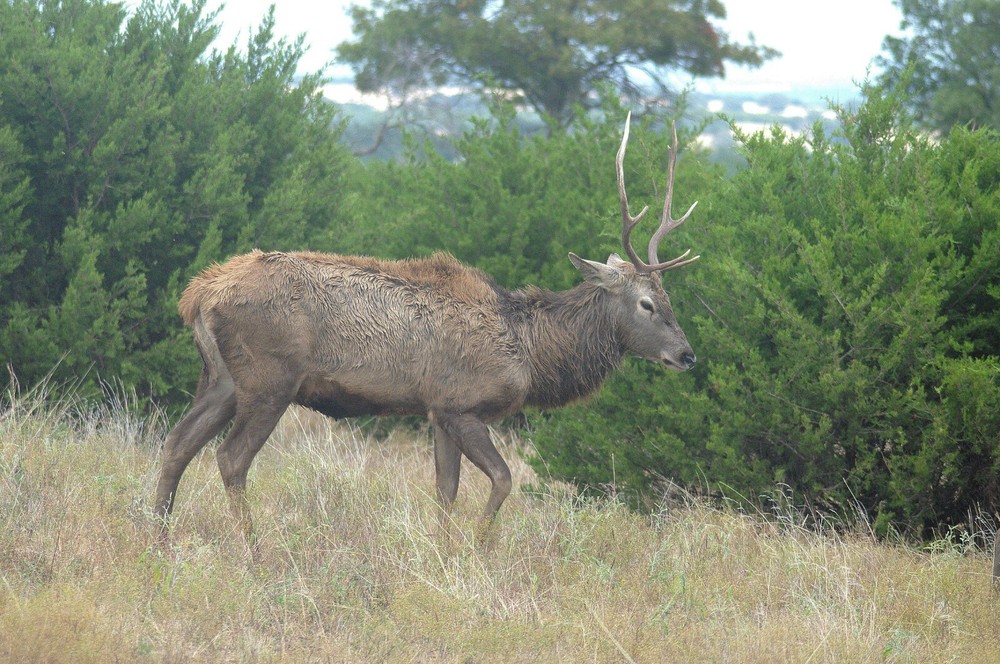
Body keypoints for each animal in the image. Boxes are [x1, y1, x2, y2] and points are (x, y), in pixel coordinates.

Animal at [154, 113, 701, 544]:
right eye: (648, 304)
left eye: (671, 300)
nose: (687, 355)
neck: (529, 352)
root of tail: (197, 295)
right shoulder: (462, 404)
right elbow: (503, 480)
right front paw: (478, 548)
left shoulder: (438, 410)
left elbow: (446, 491)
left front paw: (443, 551)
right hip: (269, 378)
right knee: (230, 458)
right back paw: (253, 550)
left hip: (221, 378)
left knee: (177, 443)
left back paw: (158, 539)